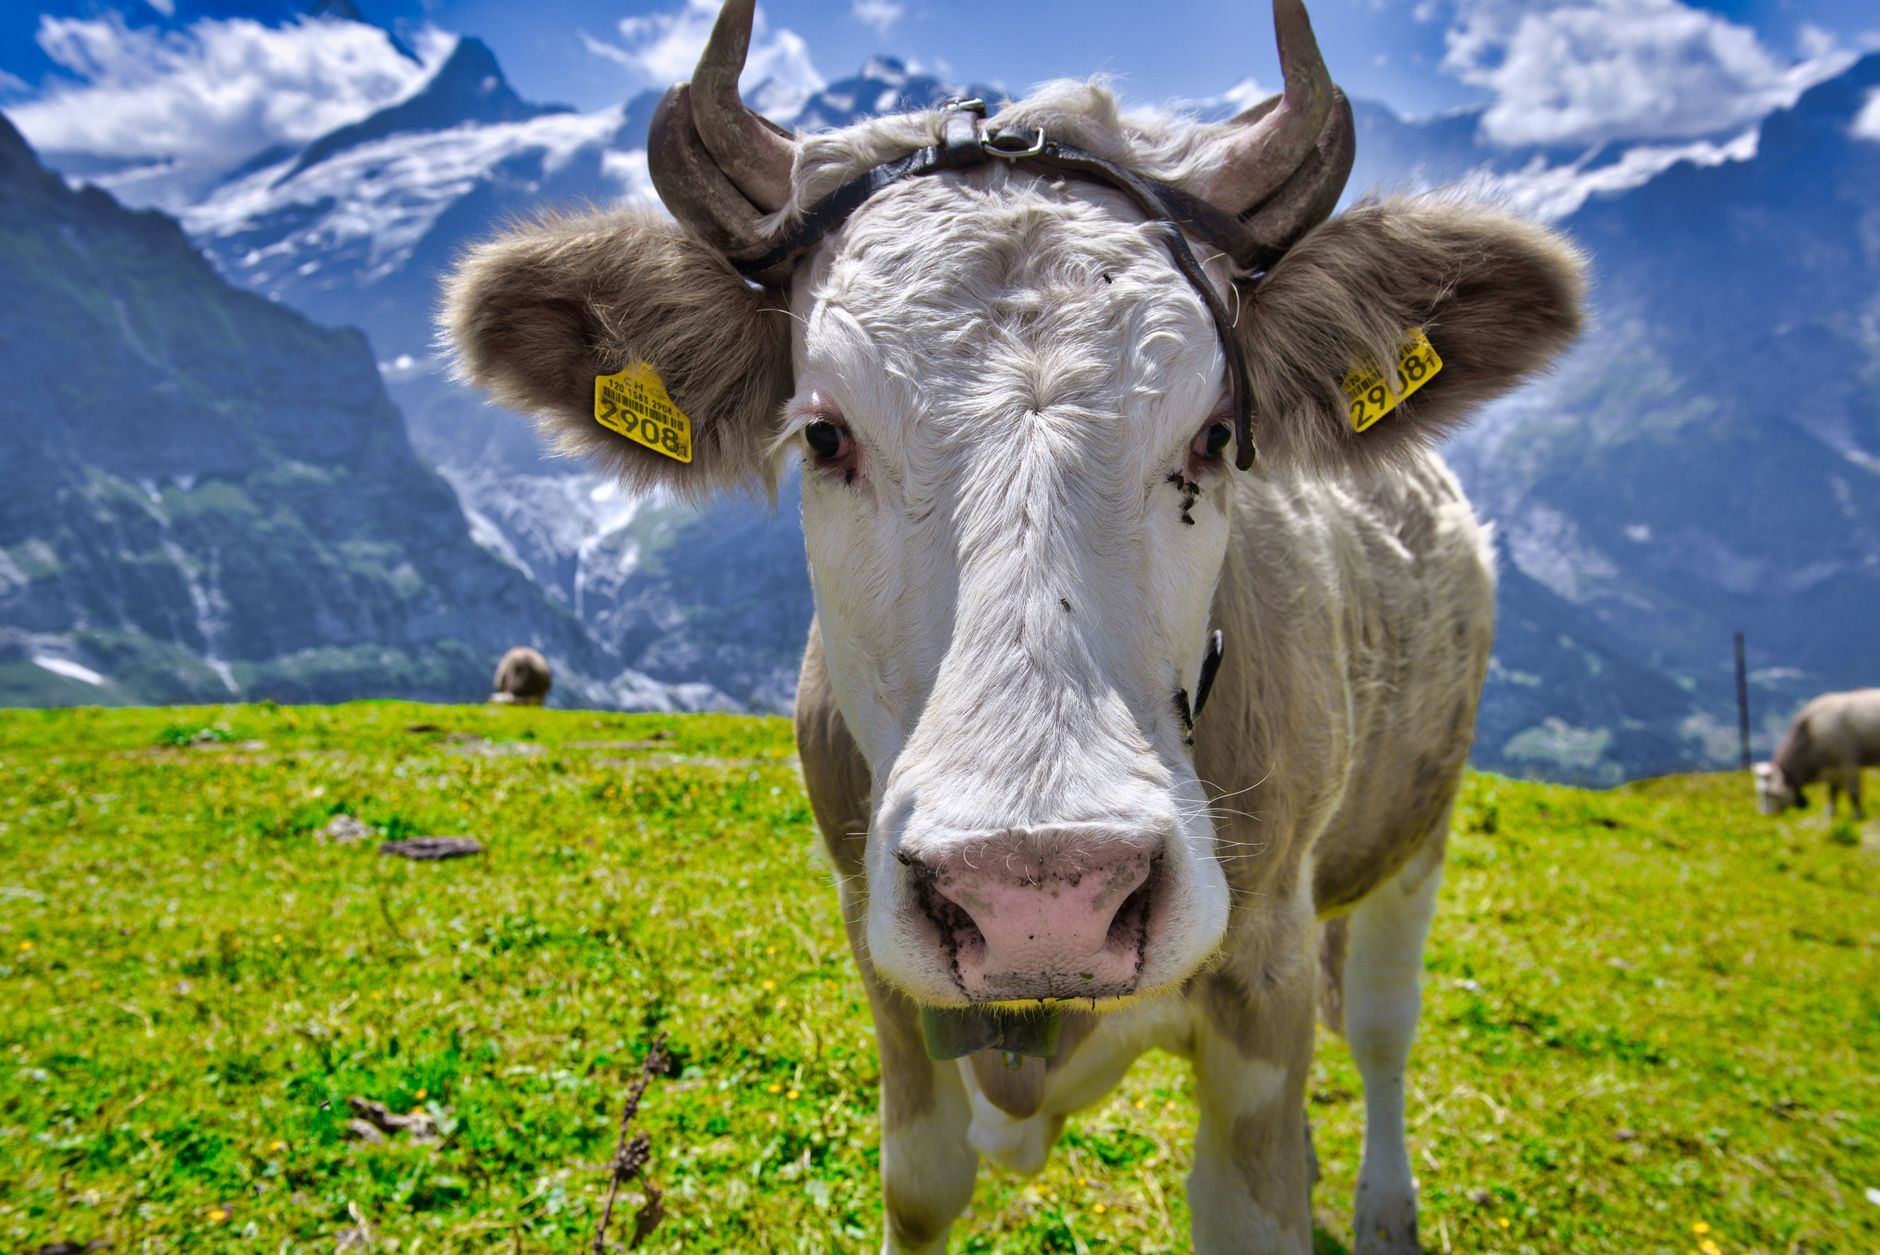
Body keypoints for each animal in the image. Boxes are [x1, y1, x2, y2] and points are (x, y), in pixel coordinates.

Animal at [441, 1, 1585, 1249]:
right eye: (823, 434)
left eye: (1215, 433)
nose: (1042, 896)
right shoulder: (879, 952)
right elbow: (921, 1183)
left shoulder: (1264, 975)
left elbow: (1253, 1193)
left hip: (1417, 826)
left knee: (1379, 1024)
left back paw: (1382, 1203)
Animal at [1755, 688, 1880, 821]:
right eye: (1759, 791)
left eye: (1769, 793)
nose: (1765, 815)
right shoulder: (1830, 769)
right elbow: (1832, 791)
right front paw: (1831, 813)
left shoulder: (1848, 762)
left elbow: (1853, 791)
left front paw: (1858, 815)